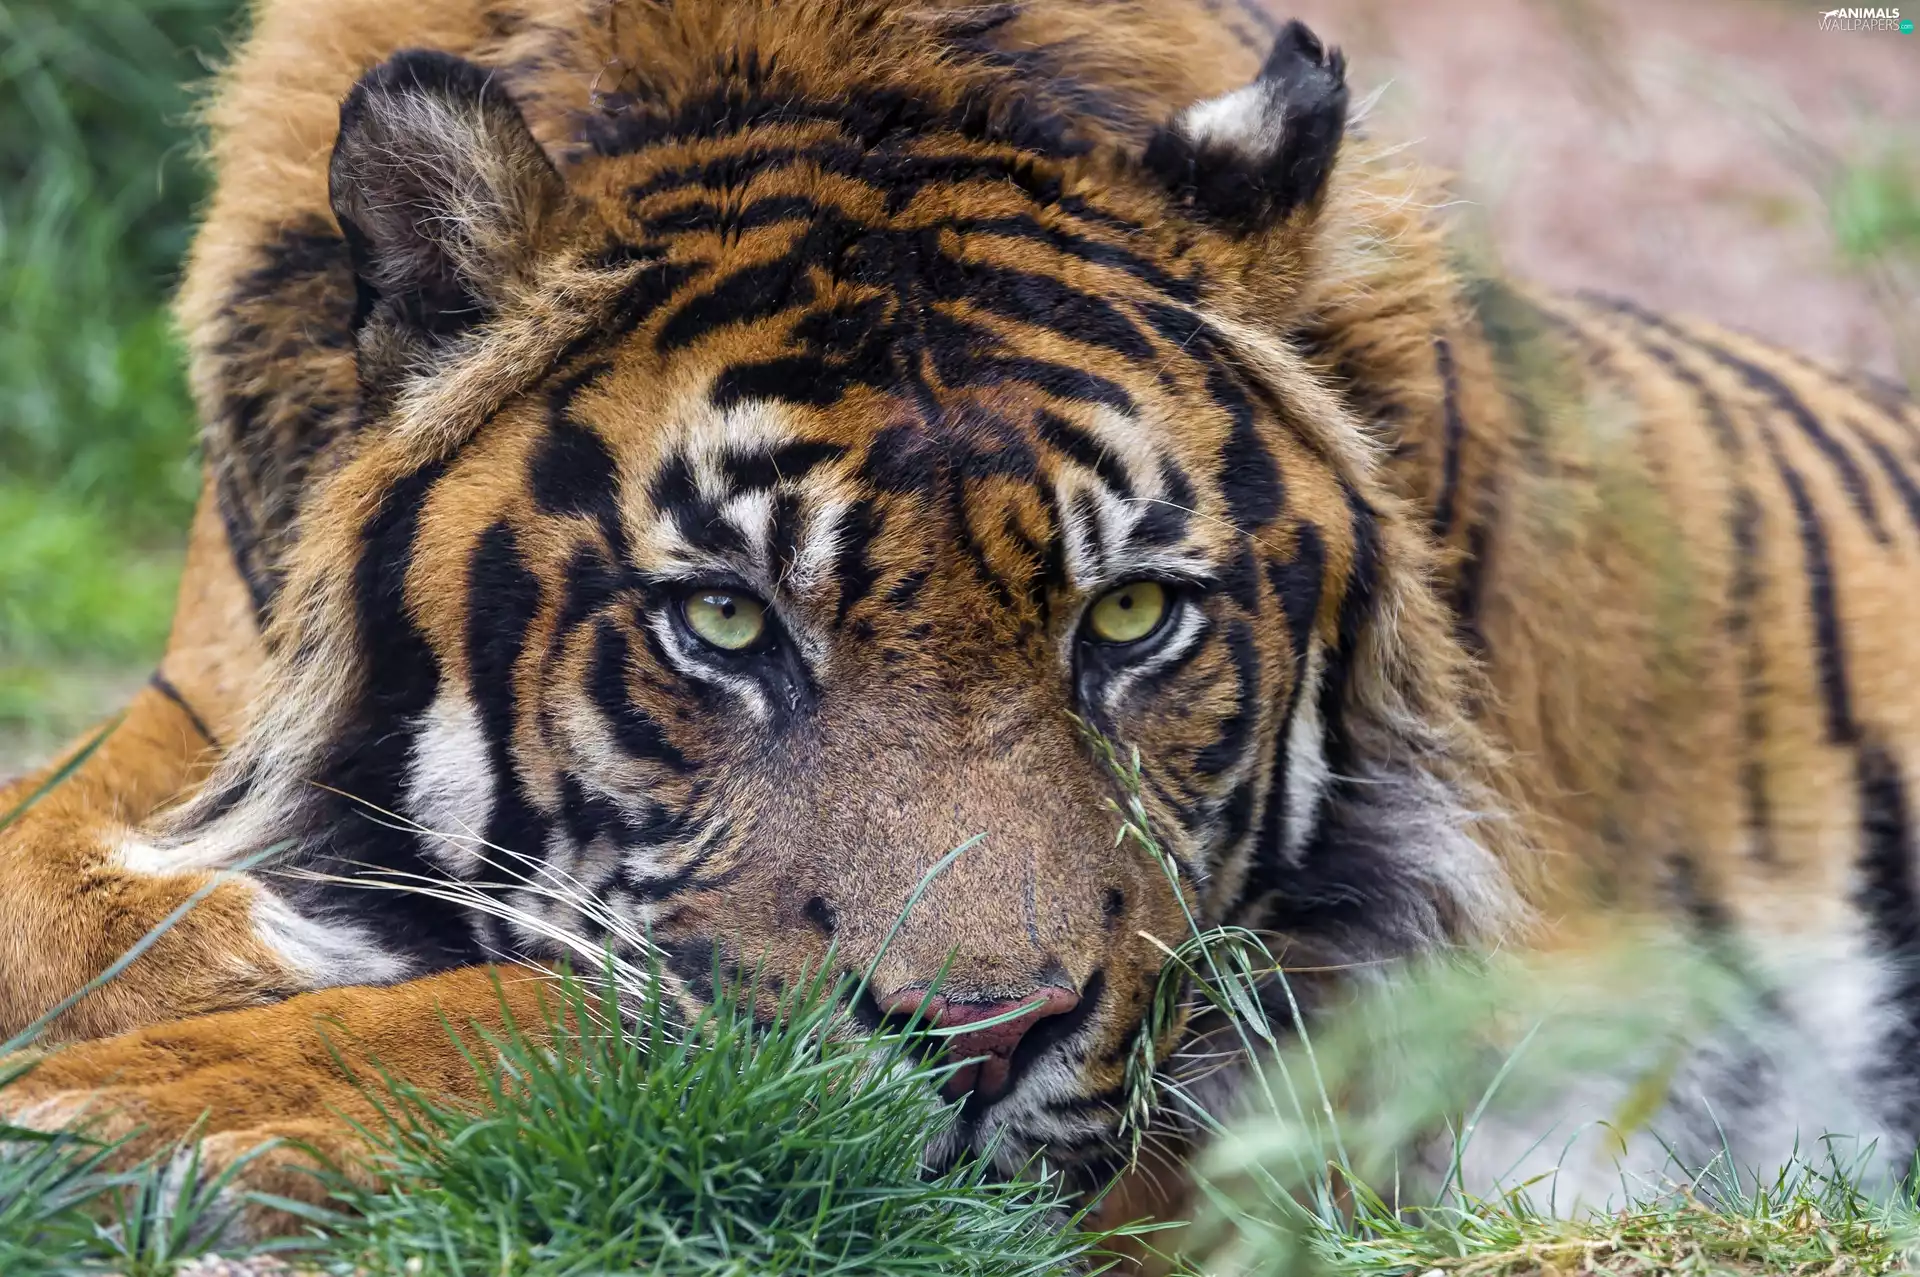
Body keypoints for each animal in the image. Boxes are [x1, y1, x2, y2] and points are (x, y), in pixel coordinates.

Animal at [5, 0, 1919, 1244]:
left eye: (1132, 615)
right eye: (724, 621)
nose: (987, 1044)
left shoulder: (1279, 1046)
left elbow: (604, 1016)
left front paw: (126, 1113)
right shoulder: (203, 702)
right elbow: (57, 876)